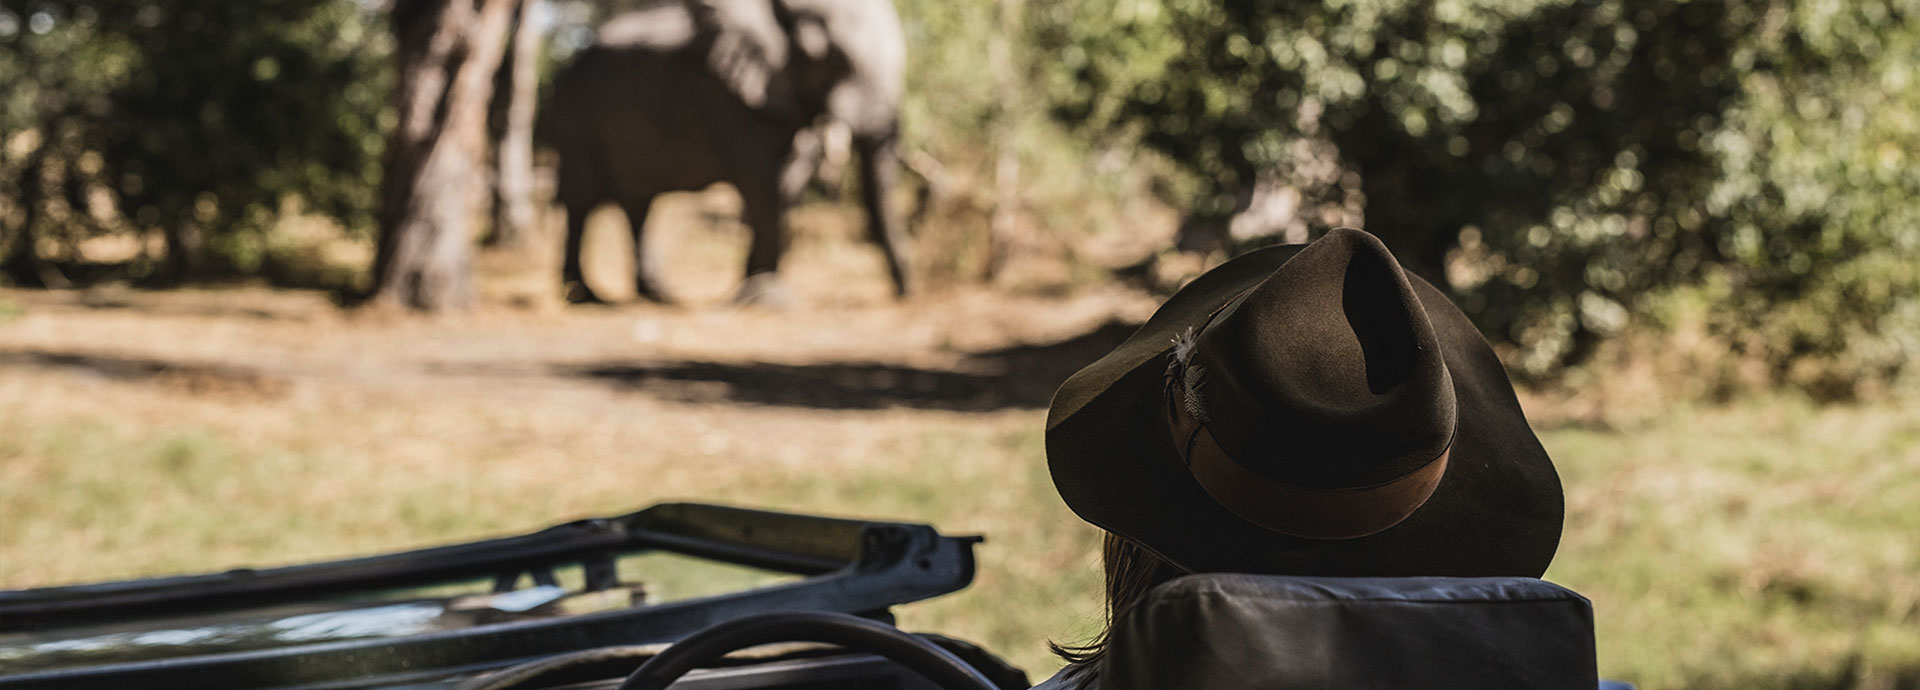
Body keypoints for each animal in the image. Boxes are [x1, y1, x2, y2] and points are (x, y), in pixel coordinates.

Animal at [549, 0, 911, 305]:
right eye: (832, 60)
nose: (900, 293)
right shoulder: (725, 91)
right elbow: (759, 181)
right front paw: (766, 297)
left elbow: (786, 184)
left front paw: (755, 287)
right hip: (577, 116)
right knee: (581, 200)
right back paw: (581, 295)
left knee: (638, 204)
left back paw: (656, 295)